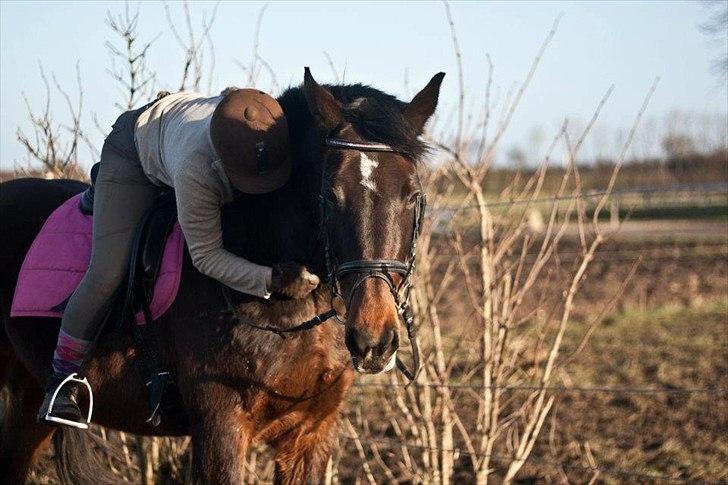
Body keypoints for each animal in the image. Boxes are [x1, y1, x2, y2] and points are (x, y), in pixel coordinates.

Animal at [0, 69, 444, 484]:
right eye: (331, 197)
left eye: (412, 195)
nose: (374, 340)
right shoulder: (221, 429)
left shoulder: (310, 433)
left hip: (27, 397)